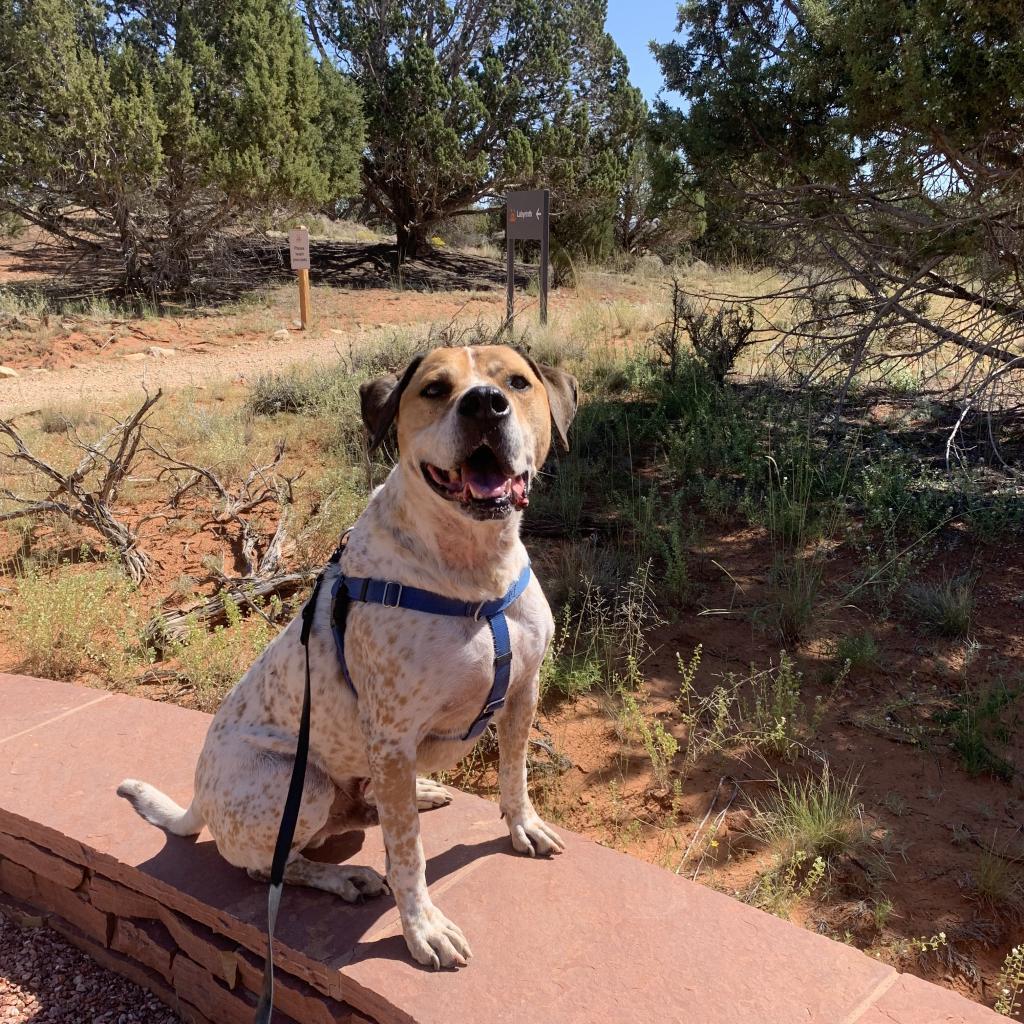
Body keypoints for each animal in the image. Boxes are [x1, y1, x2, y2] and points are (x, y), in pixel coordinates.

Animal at [119, 342, 577, 966]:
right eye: (436, 389)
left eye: (517, 382)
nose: (486, 403)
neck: (475, 569)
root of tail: (197, 799)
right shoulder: (391, 736)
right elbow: (408, 856)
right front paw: (421, 928)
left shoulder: (522, 693)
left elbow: (515, 774)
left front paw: (522, 826)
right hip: (301, 785)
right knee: (268, 866)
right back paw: (344, 877)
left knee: (366, 812)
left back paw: (406, 797)